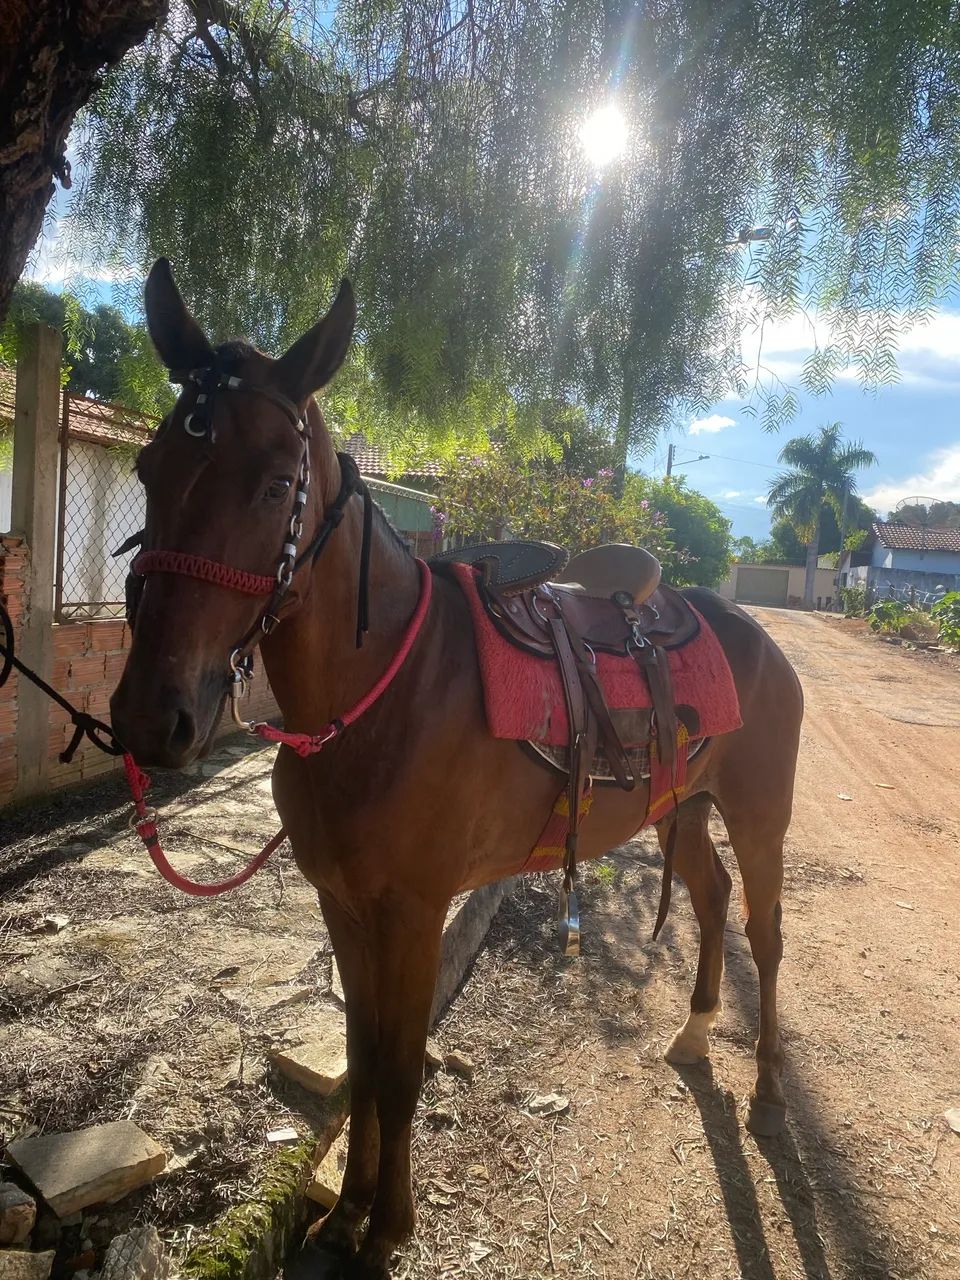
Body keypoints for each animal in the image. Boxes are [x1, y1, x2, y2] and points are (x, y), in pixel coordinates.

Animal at [110, 259, 803, 1279]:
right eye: (149, 469)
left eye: (276, 486)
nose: (150, 716)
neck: (379, 700)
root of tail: (751, 630)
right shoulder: (344, 904)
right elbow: (362, 1058)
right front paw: (343, 1212)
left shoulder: (414, 909)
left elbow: (400, 1069)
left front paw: (385, 1230)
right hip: (682, 803)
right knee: (711, 900)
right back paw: (693, 1032)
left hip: (758, 816)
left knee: (764, 929)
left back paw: (765, 1094)